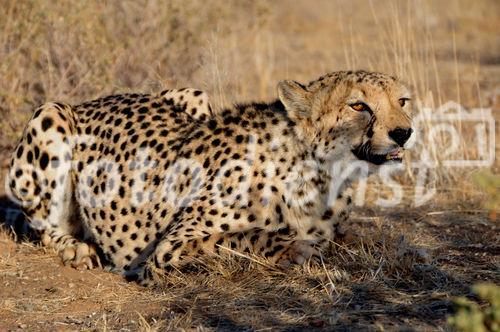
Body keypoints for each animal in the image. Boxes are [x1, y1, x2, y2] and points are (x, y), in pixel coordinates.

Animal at [6, 70, 414, 286]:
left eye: (402, 101)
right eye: (358, 105)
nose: (404, 133)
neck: (322, 173)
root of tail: (94, 100)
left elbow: (354, 236)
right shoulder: (168, 249)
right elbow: (237, 237)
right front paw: (294, 248)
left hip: (194, 94)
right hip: (51, 114)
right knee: (43, 226)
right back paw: (74, 248)